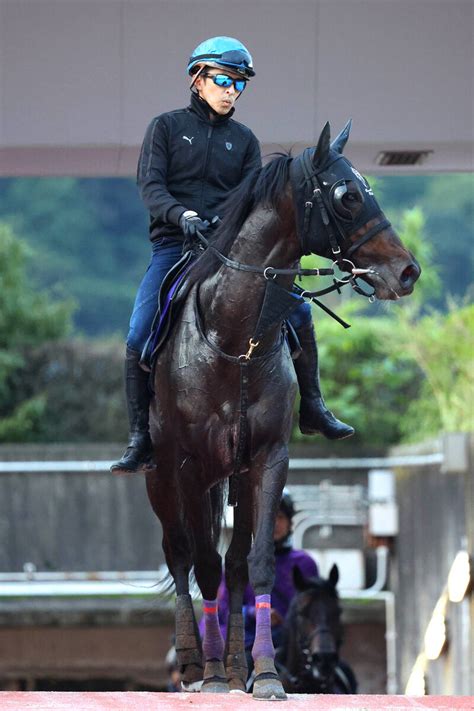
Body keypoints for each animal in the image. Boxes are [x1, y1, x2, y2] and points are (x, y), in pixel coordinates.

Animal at [144, 122, 418, 700]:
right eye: (347, 195)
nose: (408, 271)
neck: (235, 337)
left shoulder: (267, 458)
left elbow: (258, 564)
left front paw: (264, 672)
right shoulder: (188, 467)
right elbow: (202, 565)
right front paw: (212, 676)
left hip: (232, 479)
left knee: (234, 566)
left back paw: (232, 663)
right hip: (162, 477)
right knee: (179, 554)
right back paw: (196, 664)